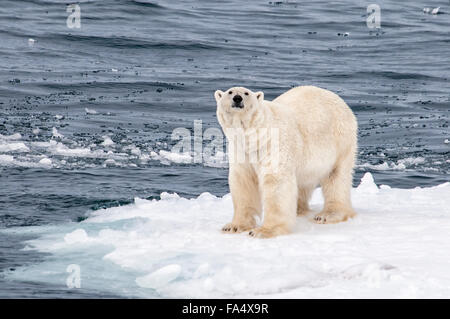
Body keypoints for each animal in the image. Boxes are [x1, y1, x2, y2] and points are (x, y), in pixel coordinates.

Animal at [214, 86, 358, 239]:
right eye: (230, 92)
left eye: (246, 93)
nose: (237, 98)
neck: (254, 136)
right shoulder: (241, 151)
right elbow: (243, 182)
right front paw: (233, 226)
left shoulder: (273, 144)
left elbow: (276, 182)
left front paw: (264, 231)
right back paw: (299, 209)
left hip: (341, 140)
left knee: (336, 177)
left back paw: (327, 215)